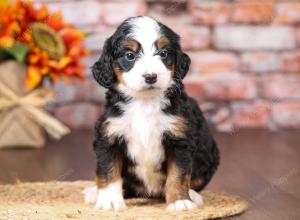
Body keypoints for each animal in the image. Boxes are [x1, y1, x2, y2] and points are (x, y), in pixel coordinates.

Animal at [83, 15, 219, 211]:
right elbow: (108, 171)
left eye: (163, 53)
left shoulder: (180, 138)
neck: (144, 102)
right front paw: (109, 200)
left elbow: (178, 175)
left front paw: (179, 201)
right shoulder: (109, 137)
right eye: (130, 56)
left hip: (209, 155)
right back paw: (94, 193)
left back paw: (193, 195)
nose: (150, 76)